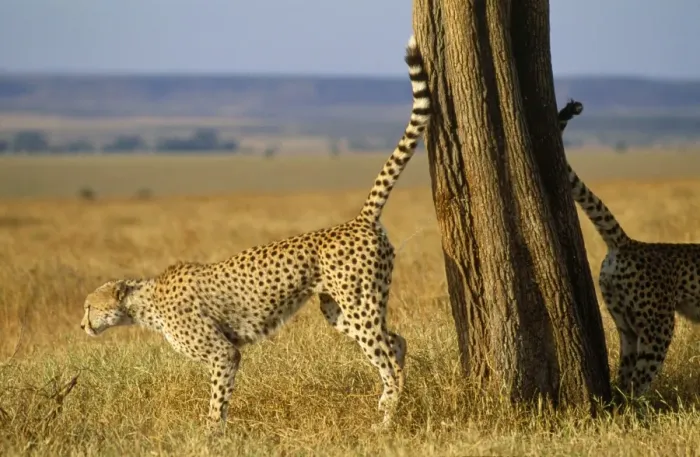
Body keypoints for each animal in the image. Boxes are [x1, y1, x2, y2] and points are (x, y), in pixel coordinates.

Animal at [80, 35, 431, 431]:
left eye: (90, 306)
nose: (82, 325)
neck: (146, 302)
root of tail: (357, 220)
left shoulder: (223, 353)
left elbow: (217, 399)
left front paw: (211, 434)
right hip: (340, 309)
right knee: (397, 341)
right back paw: (389, 406)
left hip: (359, 305)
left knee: (386, 359)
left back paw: (387, 418)